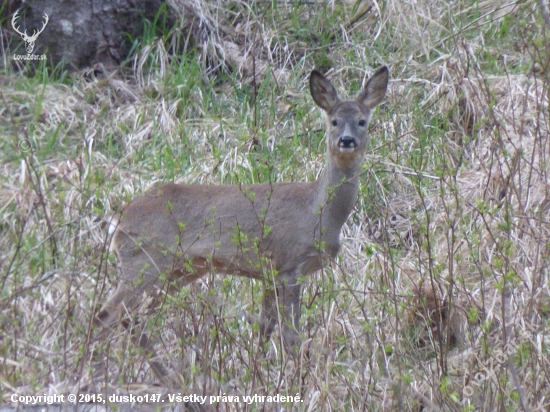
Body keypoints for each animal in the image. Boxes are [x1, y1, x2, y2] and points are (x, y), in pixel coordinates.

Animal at [98, 66, 392, 384]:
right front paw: (295, 376)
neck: (319, 213)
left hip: (177, 271)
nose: (346, 141)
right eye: (334, 121)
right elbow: (290, 333)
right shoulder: (289, 264)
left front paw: (258, 371)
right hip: (145, 261)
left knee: (133, 316)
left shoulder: (269, 274)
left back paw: (167, 376)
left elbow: (265, 326)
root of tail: (118, 219)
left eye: (362, 121)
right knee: (108, 314)